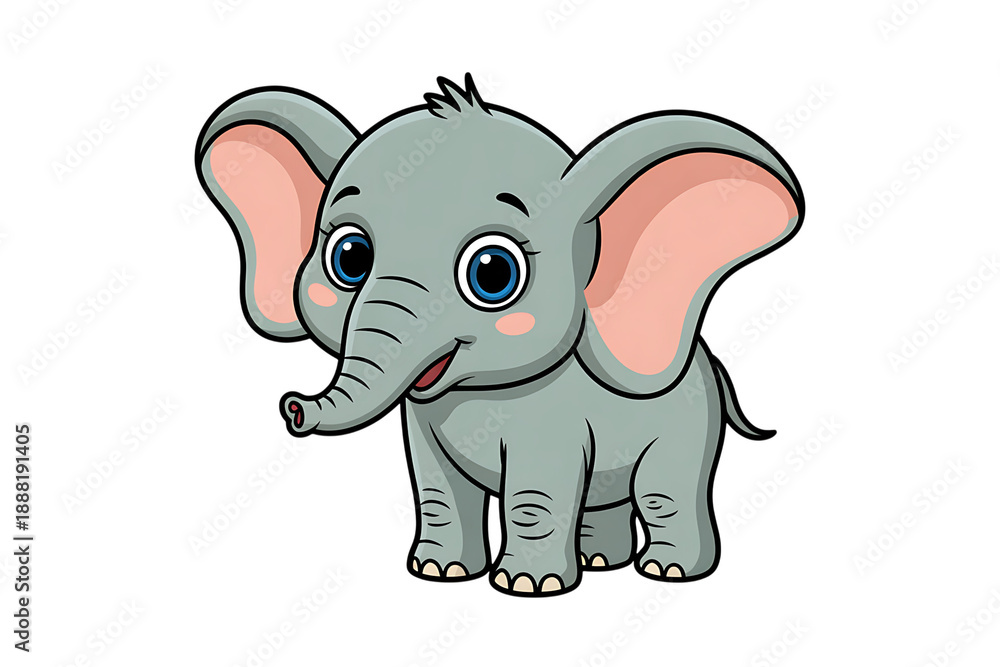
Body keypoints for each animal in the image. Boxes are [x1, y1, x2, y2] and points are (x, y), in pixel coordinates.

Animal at [195, 74, 803, 596]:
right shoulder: (422, 423)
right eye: (349, 257)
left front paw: (528, 587)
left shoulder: (552, 421)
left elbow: (535, 491)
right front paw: (438, 572)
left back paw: (667, 571)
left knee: (664, 492)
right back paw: (600, 562)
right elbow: (437, 489)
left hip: (687, 426)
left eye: (493, 273)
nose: (293, 407)